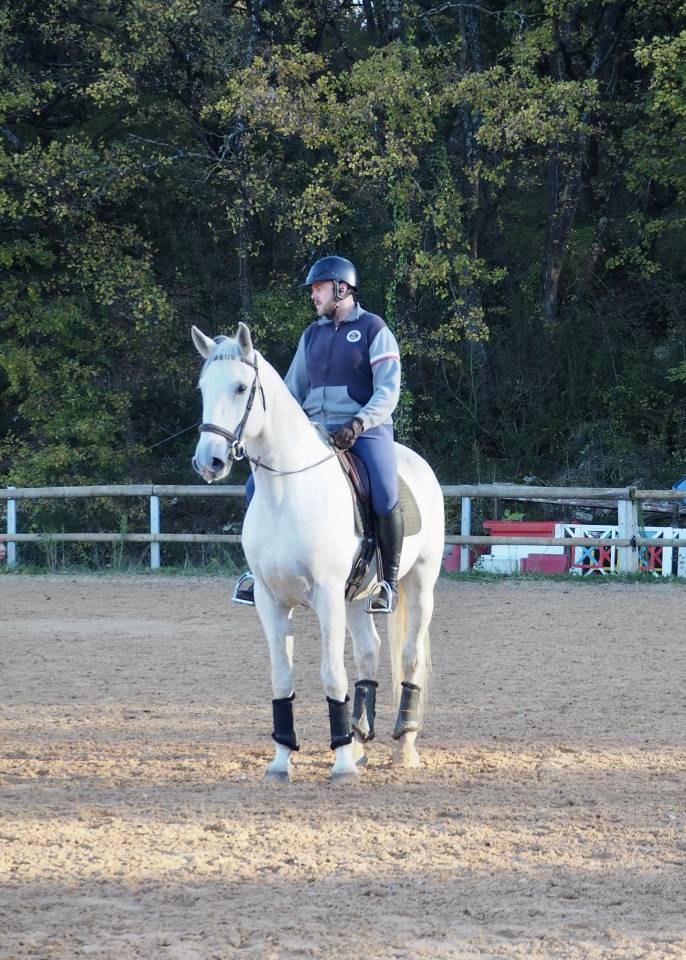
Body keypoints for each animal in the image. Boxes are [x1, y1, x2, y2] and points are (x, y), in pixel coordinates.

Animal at [191, 322, 444, 782]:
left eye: (240, 387)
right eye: (203, 388)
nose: (209, 462)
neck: (287, 493)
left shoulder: (327, 597)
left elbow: (332, 676)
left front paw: (341, 763)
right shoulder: (270, 601)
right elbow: (281, 678)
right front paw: (281, 760)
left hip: (420, 584)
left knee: (410, 657)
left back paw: (404, 745)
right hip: (359, 597)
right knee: (369, 653)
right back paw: (360, 739)